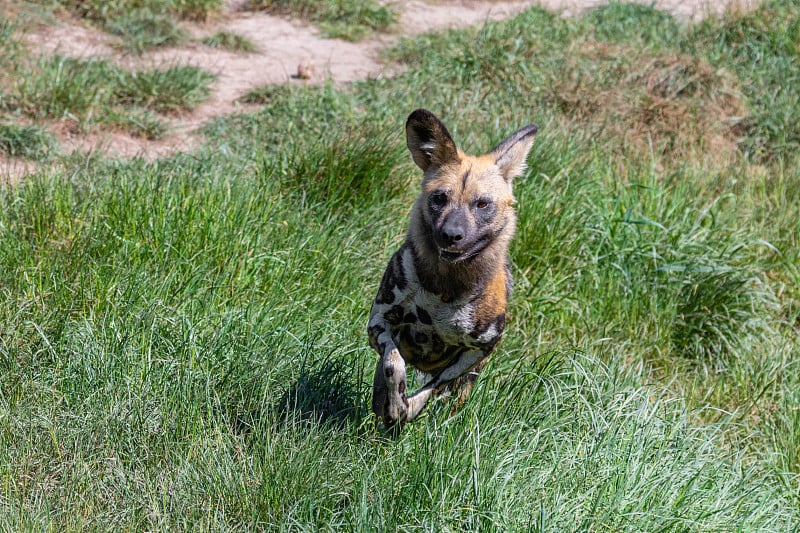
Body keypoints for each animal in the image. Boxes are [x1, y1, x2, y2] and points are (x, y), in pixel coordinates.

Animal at [368, 110, 536, 430]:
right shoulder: (378, 323)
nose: (451, 235)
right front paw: (396, 405)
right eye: (440, 198)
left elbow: (433, 387)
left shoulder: (478, 350)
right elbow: (394, 364)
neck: (445, 288)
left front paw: (408, 408)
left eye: (482, 204)